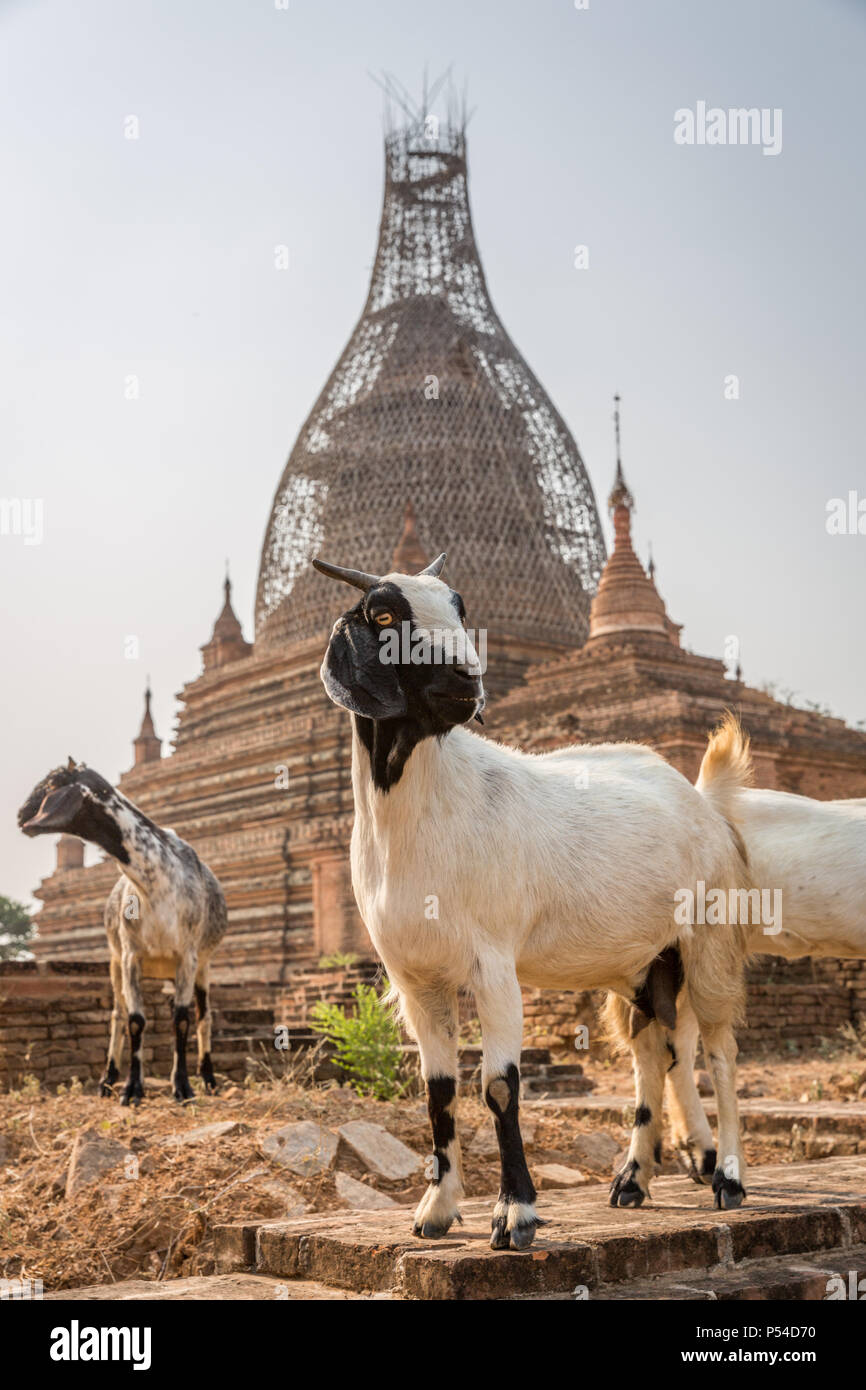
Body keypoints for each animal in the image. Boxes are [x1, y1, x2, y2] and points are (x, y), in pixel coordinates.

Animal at [18, 761, 226, 1106]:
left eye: (51, 785)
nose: (20, 815)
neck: (156, 881)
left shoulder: (188, 957)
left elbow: (182, 1019)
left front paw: (183, 1087)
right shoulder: (130, 955)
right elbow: (135, 1020)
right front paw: (131, 1088)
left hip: (202, 966)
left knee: (203, 1016)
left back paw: (209, 1078)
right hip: (115, 962)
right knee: (117, 1014)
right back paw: (108, 1079)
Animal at [315, 544, 756, 1251]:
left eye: (461, 606)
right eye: (381, 614)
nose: (465, 682)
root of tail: (701, 800)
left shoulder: (493, 962)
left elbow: (498, 1085)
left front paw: (515, 1214)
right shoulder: (415, 977)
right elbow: (437, 1089)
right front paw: (436, 1209)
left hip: (709, 940)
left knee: (718, 1049)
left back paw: (729, 1180)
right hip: (643, 963)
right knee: (653, 1050)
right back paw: (632, 1180)